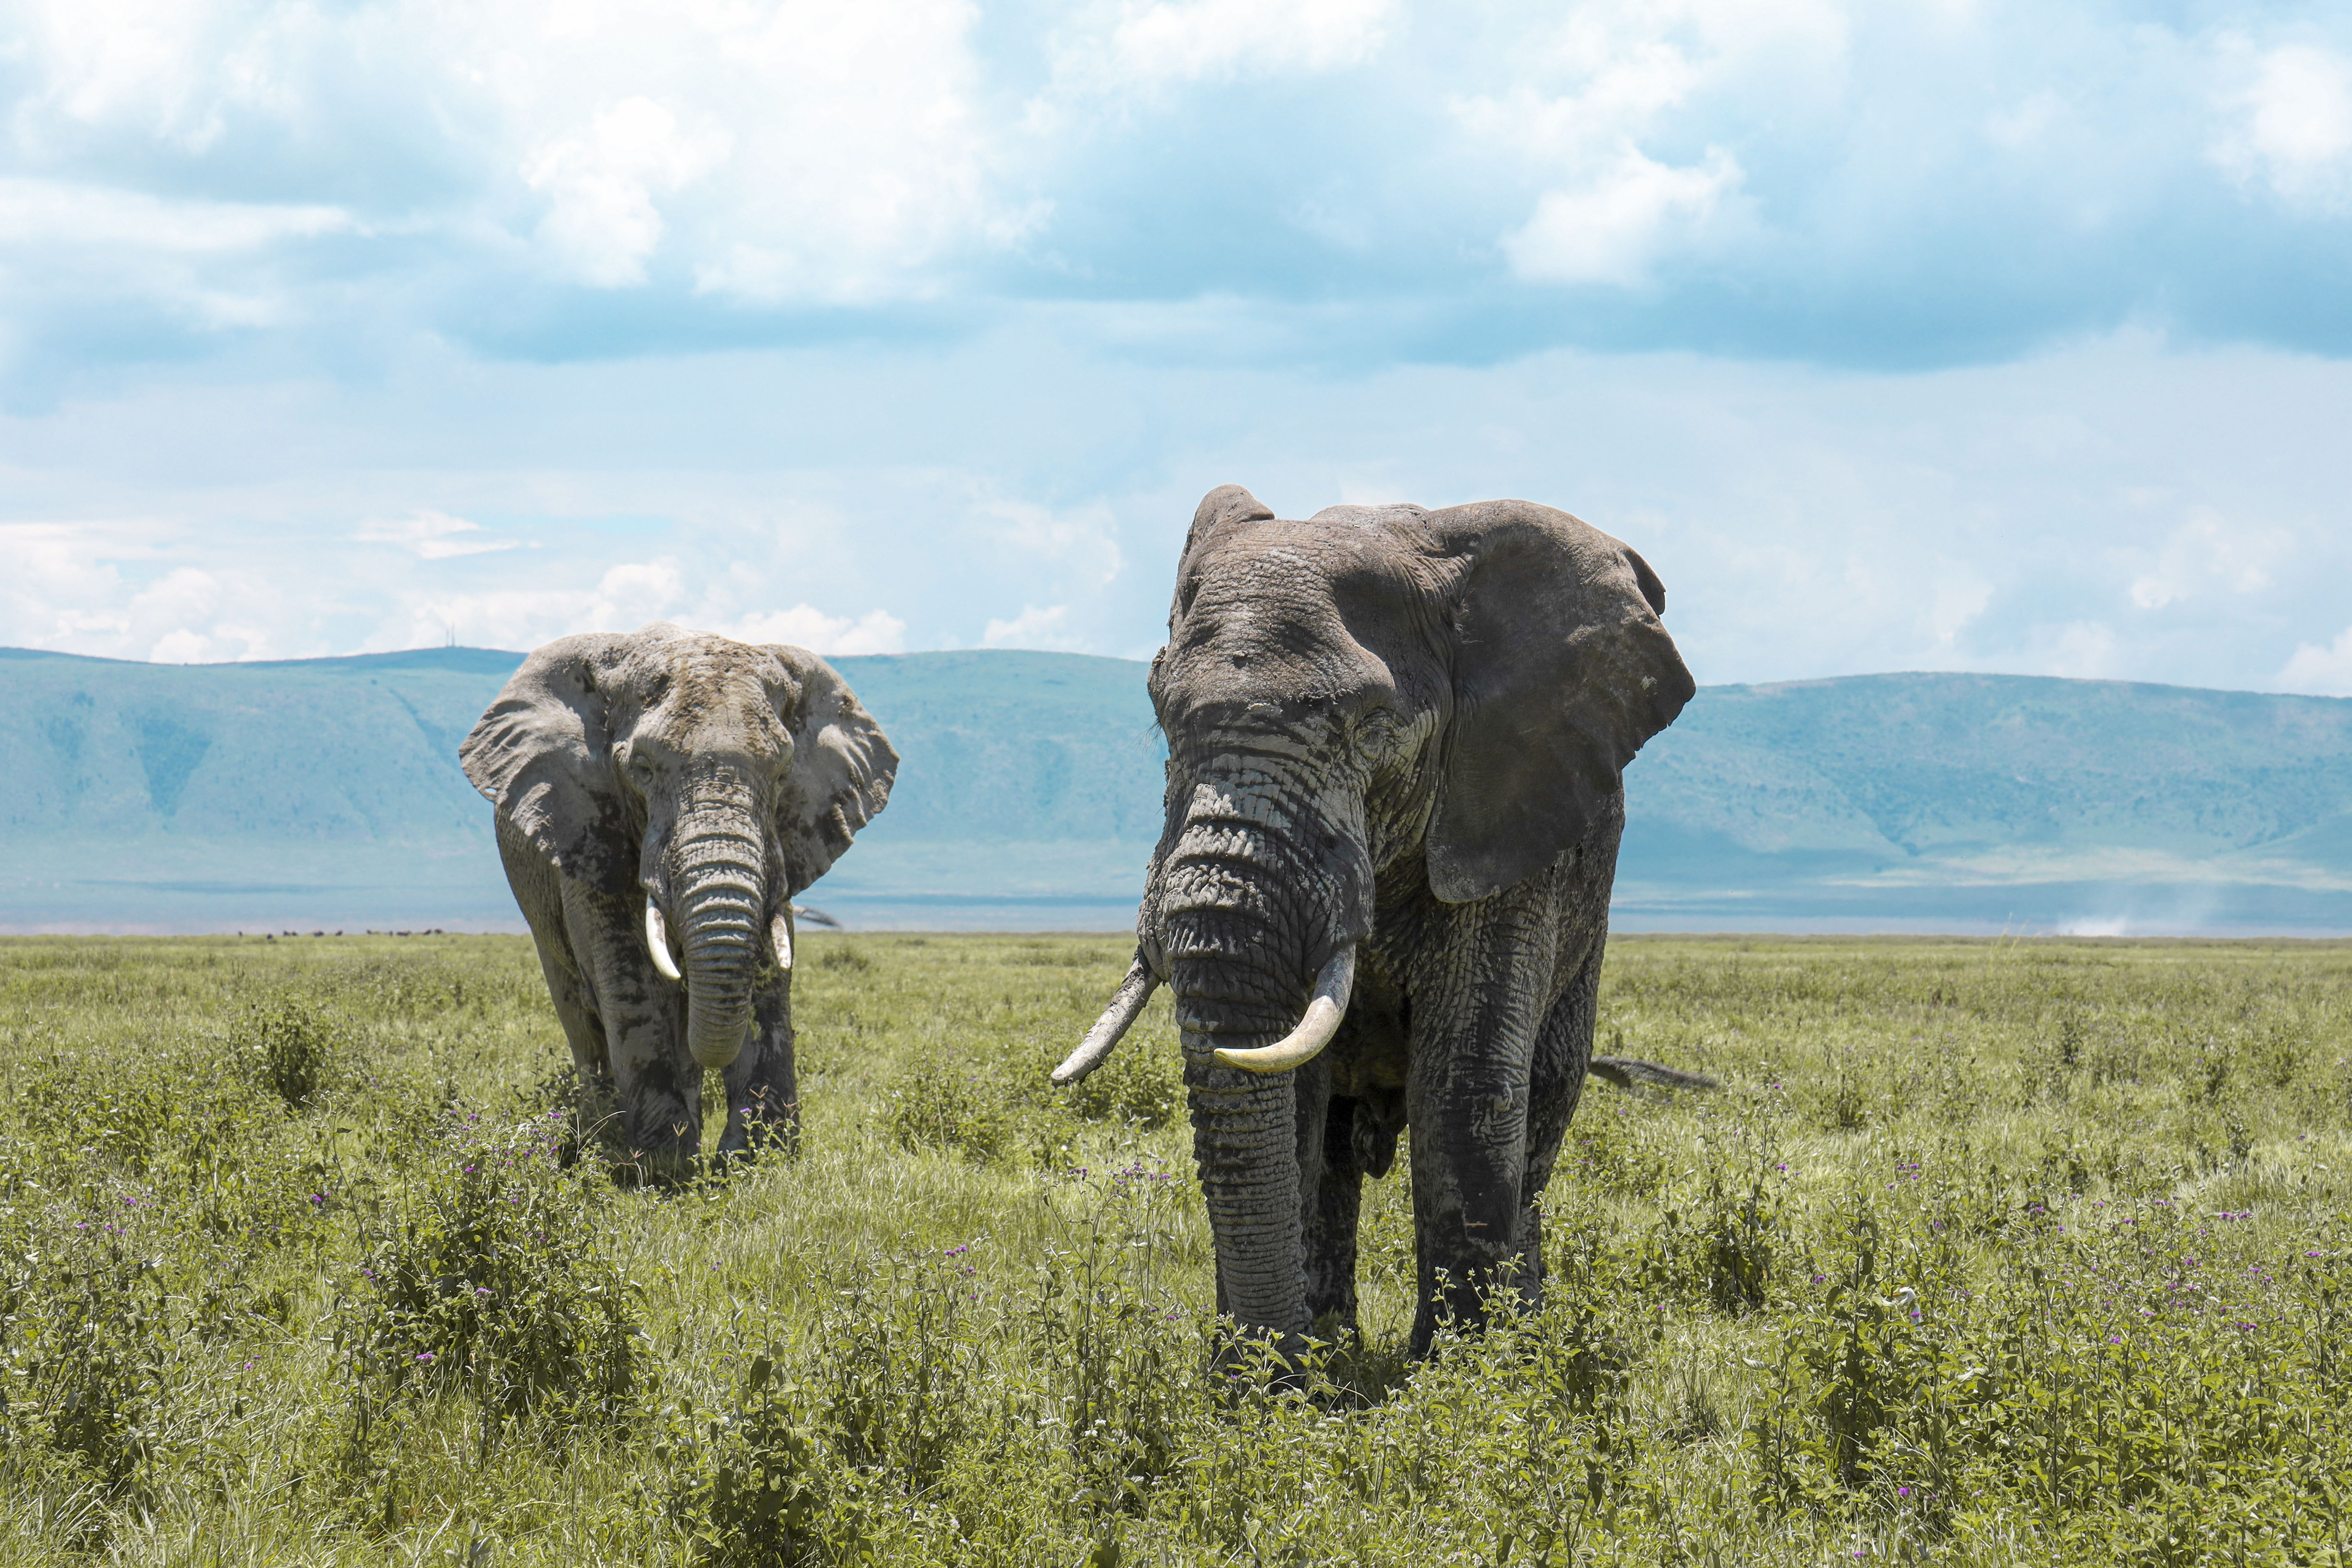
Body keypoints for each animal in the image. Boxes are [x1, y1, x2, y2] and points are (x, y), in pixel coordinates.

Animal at [459, 622, 897, 1174]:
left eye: (783, 774)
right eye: (643, 769)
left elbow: (767, 973)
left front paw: (757, 1163)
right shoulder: (588, 829)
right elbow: (632, 980)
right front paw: (662, 1166)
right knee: (578, 1009)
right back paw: (602, 1135)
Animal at [1056, 485, 1695, 1358]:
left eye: (1369, 726)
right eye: (1163, 720)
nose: (1258, 1368)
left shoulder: (1505, 819)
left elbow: (1464, 1081)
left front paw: (1457, 1376)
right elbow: (1291, 1092)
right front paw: (1285, 1376)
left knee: (1540, 1111)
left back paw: (1520, 1342)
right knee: (1332, 1149)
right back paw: (1334, 1340)